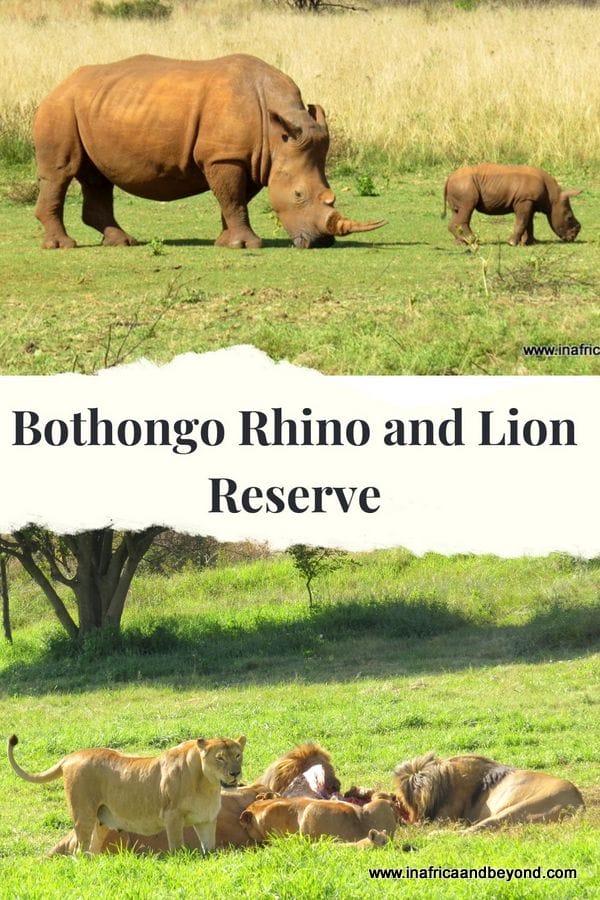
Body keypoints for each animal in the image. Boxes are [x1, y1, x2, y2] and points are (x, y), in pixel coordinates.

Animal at [8, 733, 245, 853]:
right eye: (220, 758)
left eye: (238, 755)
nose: (235, 773)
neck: (207, 784)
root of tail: (71, 756)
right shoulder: (172, 816)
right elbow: (177, 848)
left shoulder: (207, 820)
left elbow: (209, 850)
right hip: (83, 815)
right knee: (79, 850)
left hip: (101, 822)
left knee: (91, 849)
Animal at [33, 54, 385, 251]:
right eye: (298, 195)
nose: (322, 242)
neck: (277, 132)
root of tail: (58, 85)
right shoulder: (225, 156)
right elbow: (233, 198)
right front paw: (246, 245)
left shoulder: (253, 158)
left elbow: (234, 200)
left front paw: (226, 241)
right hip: (60, 108)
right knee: (61, 173)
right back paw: (62, 247)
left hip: (93, 106)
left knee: (98, 178)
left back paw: (122, 242)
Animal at [393, 752, 585, 831]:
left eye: (403, 799)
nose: (396, 799)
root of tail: (578, 805)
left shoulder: (445, 818)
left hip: (513, 811)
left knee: (469, 831)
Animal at [442, 164, 581, 246]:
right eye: (569, 217)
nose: (572, 237)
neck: (553, 197)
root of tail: (449, 177)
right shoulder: (524, 200)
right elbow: (522, 221)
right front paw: (512, 243)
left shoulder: (529, 201)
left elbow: (529, 223)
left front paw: (530, 242)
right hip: (465, 185)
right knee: (467, 208)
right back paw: (474, 241)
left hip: (462, 185)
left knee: (457, 211)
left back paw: (461, 243)